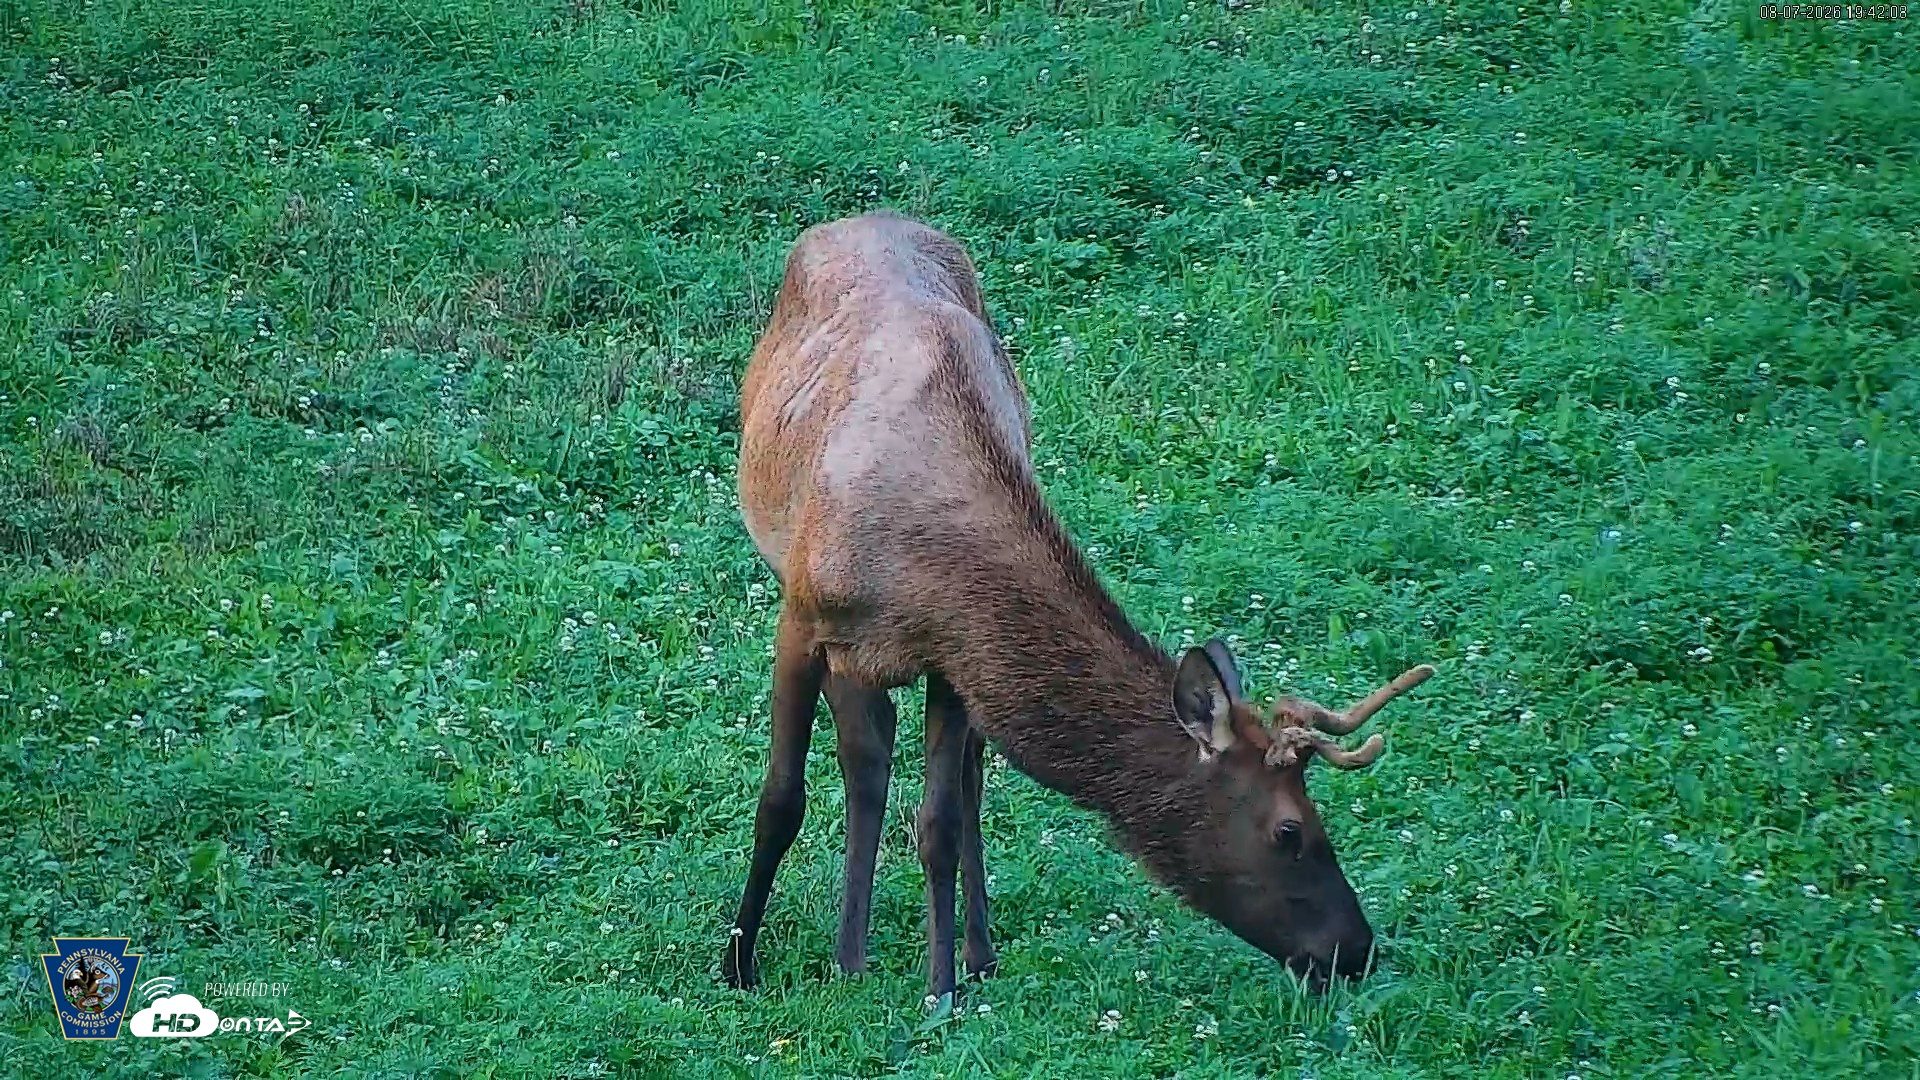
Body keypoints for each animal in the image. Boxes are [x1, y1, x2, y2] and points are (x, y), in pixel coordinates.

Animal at [723, 210, 1434, 998]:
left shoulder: (956, 659)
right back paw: (852, 957)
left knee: (924, 775)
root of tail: (856, 218)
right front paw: (738, 962)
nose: (1356, 950)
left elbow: (940, 823)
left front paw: (942, 988)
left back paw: (944, 956)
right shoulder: (801, 615)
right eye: (1291, 830)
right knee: (866, 759)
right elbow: (781, 801)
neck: (921, 565)